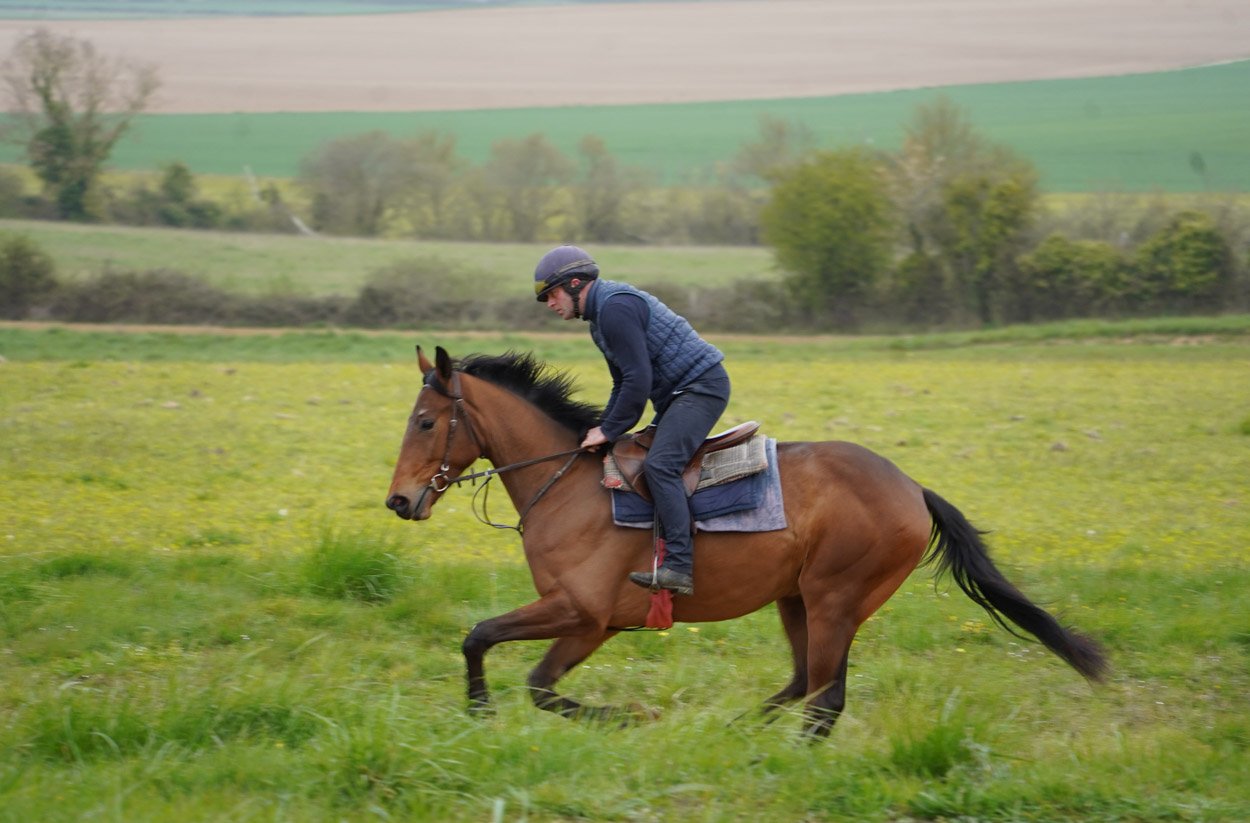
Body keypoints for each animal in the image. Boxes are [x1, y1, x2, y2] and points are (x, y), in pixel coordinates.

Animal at [385, 346, 1106, 738]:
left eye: (425, 421)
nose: (398, 500)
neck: (568, 484)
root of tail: (912, 486)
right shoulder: (594, 624)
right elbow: (510, 662)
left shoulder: (583, 615)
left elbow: (498, 651)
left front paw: (615, 716)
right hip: (797, 599)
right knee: (803, 683)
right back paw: (739, 732)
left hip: (836, 597)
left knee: (826, 696)